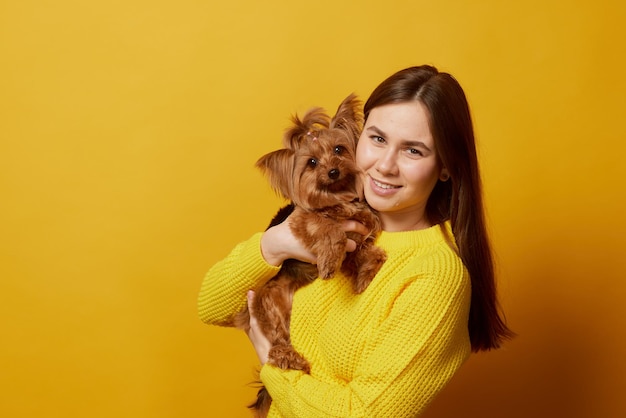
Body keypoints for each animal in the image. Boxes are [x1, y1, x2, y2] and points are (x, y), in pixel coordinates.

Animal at [232, 94, 382, 418]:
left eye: (339, 150)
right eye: (312, 162)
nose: (333, 171)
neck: (337, 198)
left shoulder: (360, 226)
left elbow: (362, 249)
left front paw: (367, 270)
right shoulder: (302, 223)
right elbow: (327, 228)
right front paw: (329, 259)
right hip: (269, 305)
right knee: (276, 345)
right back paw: (291, 358)